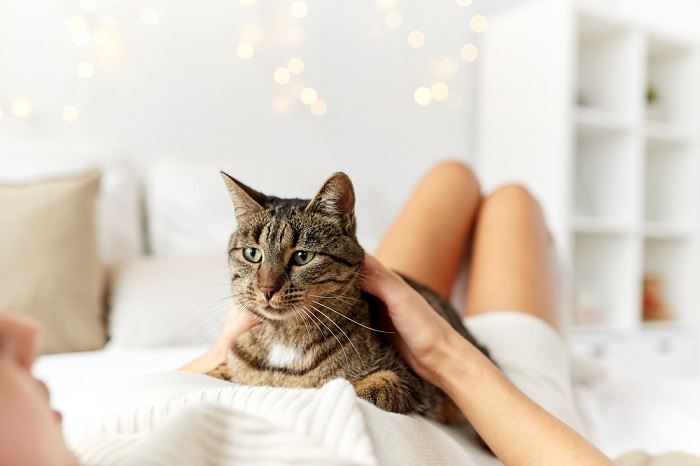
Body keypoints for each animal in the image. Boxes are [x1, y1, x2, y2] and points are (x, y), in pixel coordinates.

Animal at [209, 170, 492, 422]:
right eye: (252, 254)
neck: (284, 338)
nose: (267, 289)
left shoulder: (407, 381)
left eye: (303, 257)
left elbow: (362, 389)